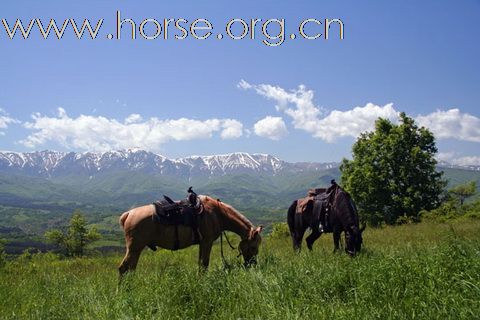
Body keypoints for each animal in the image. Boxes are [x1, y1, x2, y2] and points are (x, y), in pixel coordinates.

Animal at [118, 195, 264, 278]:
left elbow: (200, 264)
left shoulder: (202, 243)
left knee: (130, 269)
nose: (252, 264)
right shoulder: (207, 242)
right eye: (253, 247)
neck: (218, 214)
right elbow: (204, 264)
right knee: (123, 269)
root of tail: (128, 214)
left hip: (136, 249)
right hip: (135, 248)